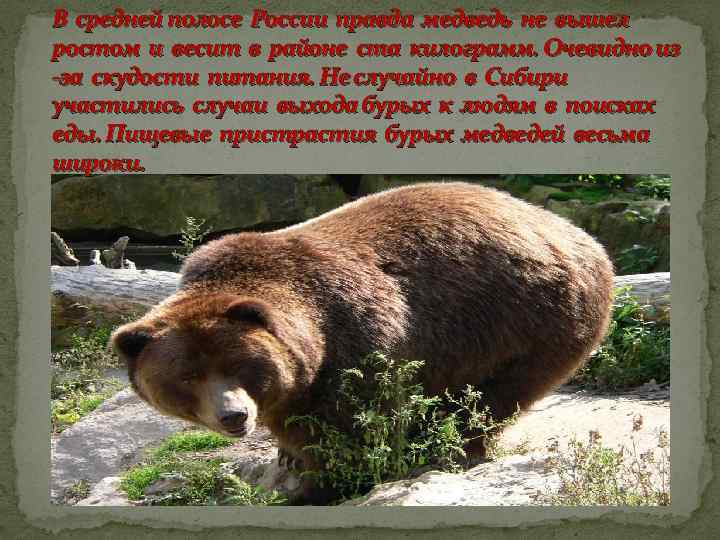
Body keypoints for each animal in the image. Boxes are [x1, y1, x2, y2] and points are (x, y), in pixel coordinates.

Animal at [111, 181, 614, 503]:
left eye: (240, 365)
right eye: (188, 376)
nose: (233, 415)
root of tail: (577, 234)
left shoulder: (357, 342)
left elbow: (354, 426)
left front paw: (322, 483)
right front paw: (289, 461)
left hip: (527, 317)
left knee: (490, 397)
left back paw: (449, 449)